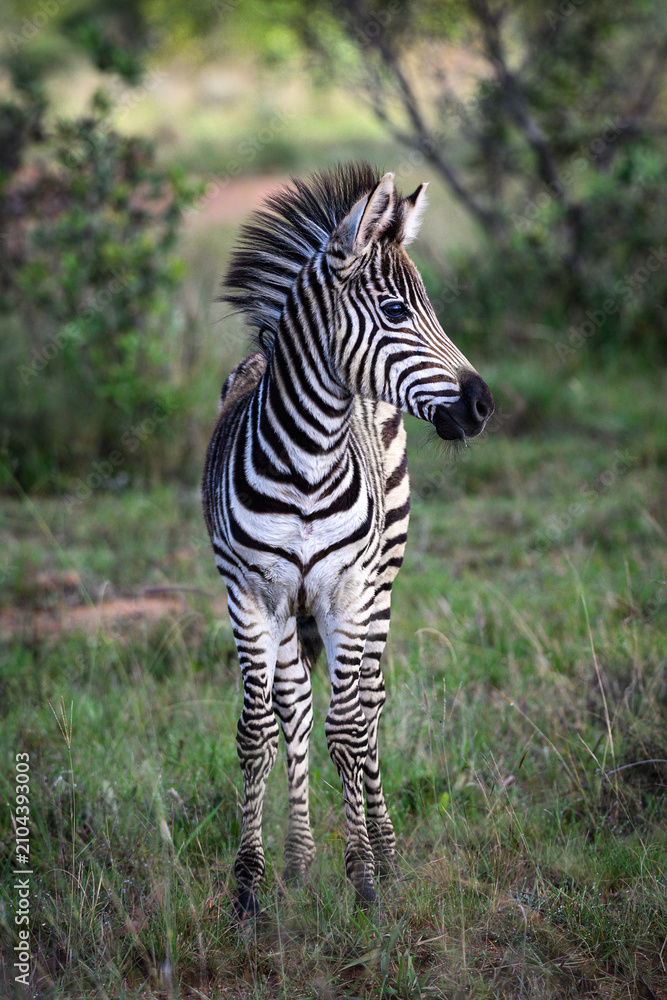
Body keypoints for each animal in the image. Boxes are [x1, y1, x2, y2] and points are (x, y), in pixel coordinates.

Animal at [202, 162, 494, 920]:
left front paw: (364, 876)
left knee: (367, 700)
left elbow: (350, 728)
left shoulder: (346, 592)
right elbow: (259, 730)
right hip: (290, 608)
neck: (308, 460)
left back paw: (384, 852)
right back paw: (300, 860)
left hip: (379, 582)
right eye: (394, 312)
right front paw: (249, 885)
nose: (484, 406)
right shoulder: (249, 596)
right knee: (297, 704)